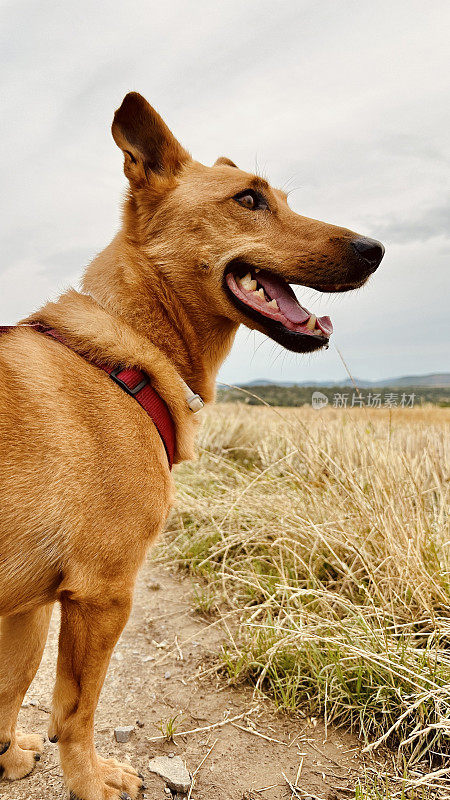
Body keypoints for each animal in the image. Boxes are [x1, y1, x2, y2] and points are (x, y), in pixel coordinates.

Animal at [0, 90, 384, 796]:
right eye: (250, 199)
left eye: (279, 197)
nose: (374, 249)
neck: (128, 354)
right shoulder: (101, 593)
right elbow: (75, 712)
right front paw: (90, 781)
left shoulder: (30, 606)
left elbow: (12, 689)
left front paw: (9, 760)